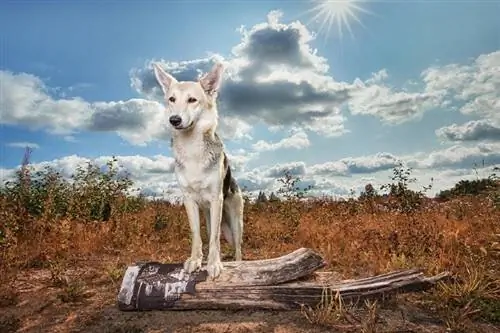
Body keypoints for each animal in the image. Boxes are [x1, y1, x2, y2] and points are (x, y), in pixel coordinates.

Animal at [153, 60, 245, 278]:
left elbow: (214, 239)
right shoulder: (189, 201)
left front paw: (214, 264)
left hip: (235, 225)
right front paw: (195, 260)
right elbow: (197, 235)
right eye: (172, 99)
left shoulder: (216, 199)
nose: (174, 120)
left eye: (192, 100)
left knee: (237, 249)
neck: (192, 148)